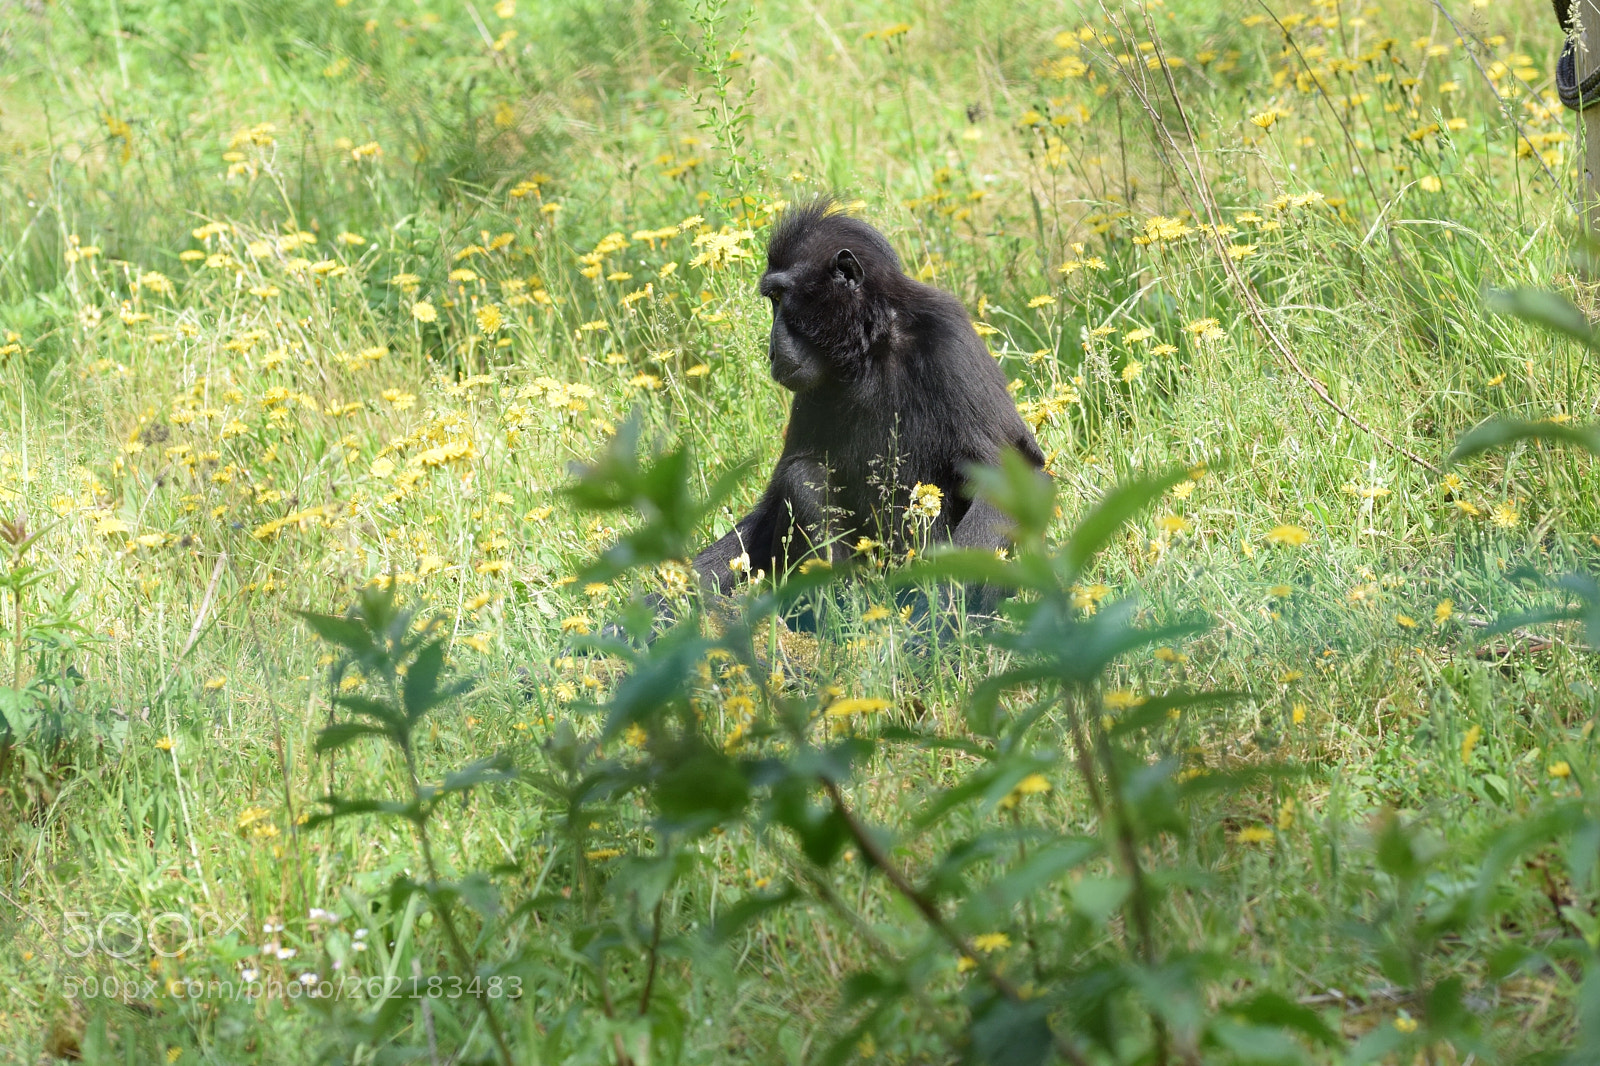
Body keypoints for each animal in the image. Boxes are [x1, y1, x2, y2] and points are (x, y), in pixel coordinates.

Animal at [690, 199, 1045, 613]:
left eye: (779, 298)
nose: (772, 351)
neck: (871, 346)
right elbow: (770, 508)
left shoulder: (947, 341)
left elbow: (1016, 472)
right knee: (803, 477)